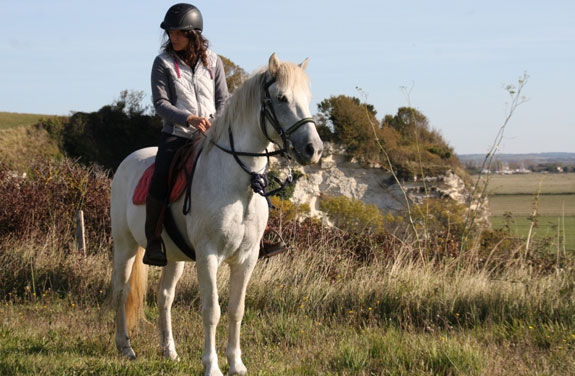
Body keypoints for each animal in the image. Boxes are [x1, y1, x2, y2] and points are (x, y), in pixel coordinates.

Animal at [109, 53, 324, 376]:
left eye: (307, 98)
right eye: (281, 98)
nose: (313, 149)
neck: (240, 183)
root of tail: (128, 161)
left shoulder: (247, 259)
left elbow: (236, 310)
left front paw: (236, 363)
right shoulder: (208, 255)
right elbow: (212, 311)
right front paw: (211, 366)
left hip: (173, 257)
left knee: (164, 297)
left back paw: (169, 351)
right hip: (126, 246)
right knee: (122, 292)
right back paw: (125, 347)